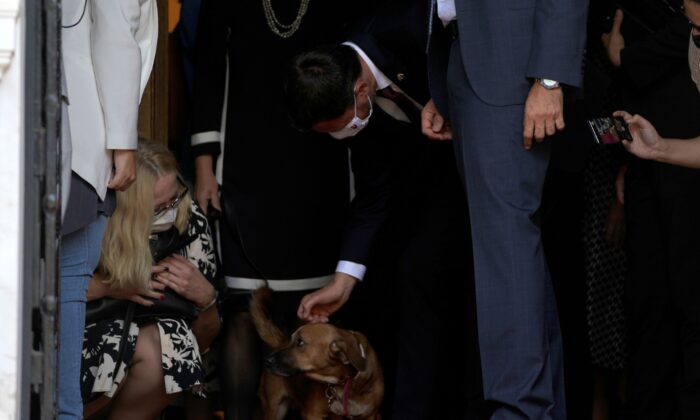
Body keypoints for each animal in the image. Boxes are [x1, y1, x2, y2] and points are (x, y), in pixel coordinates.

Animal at [250, 286, 386, 420]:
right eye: (293, 339)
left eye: (300, 342)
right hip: (275, 410)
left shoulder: (372, 415)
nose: (267, 361)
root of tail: (281, 342)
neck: (345, 382)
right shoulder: (313, 414)